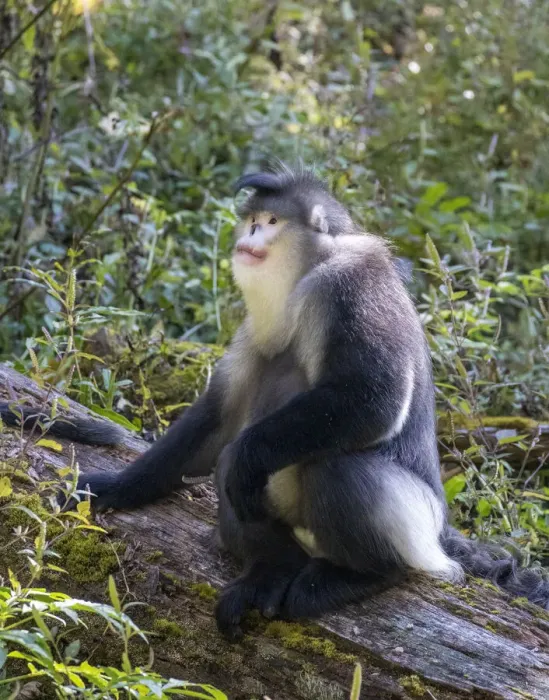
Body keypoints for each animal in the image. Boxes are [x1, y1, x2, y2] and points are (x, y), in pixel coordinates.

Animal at [5, 165, 548, 638]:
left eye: (271, 223)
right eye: (252, 220)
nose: (249, 237)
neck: (306, 272)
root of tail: (441, 532)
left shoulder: (351, 284)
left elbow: (373, 398)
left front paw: (247, 457)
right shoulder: (254, 327)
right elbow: (219, 419)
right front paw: (115, 488)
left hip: (414, 524)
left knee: (326, 464)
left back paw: (364, 574)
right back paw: (273, 569)